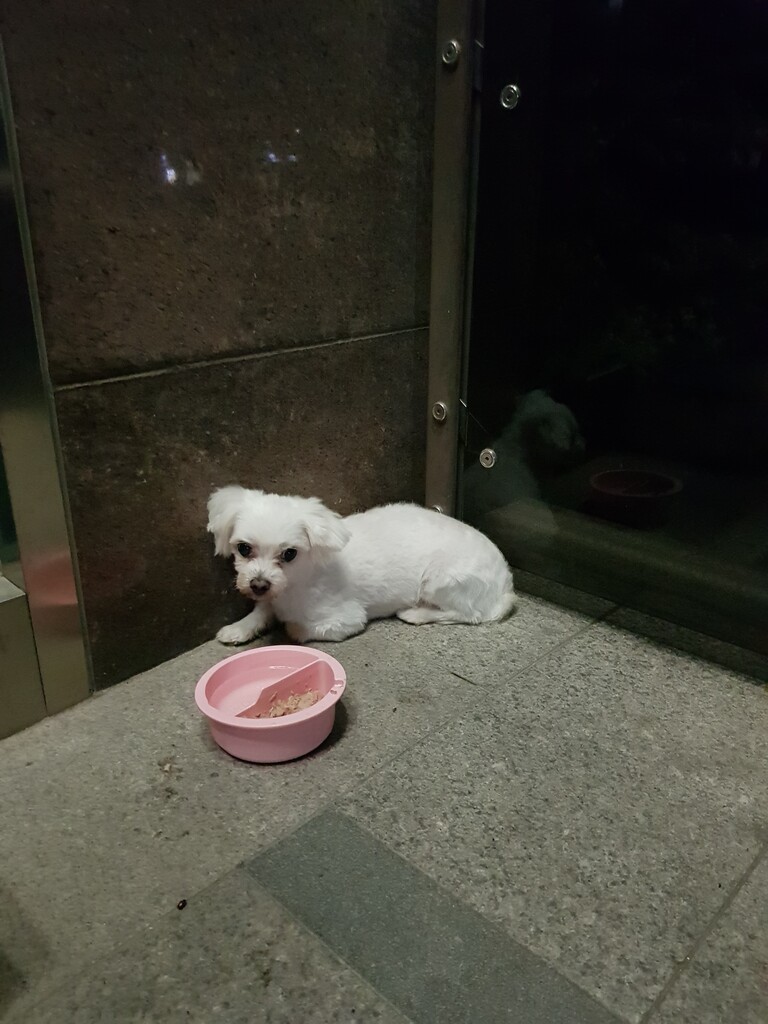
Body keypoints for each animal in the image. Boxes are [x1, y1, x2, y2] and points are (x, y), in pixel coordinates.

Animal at [207, 487, 516, 644]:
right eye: (243, 549)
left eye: (290, 554)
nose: (258, 585)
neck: (296, 583)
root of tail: (506, 583)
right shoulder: (269, 597)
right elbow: (261, 611)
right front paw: (240, 627)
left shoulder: (347, 619)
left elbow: (298, 628)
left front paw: (287, 627)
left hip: (440, 580)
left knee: (469, 614)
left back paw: (417, 613)